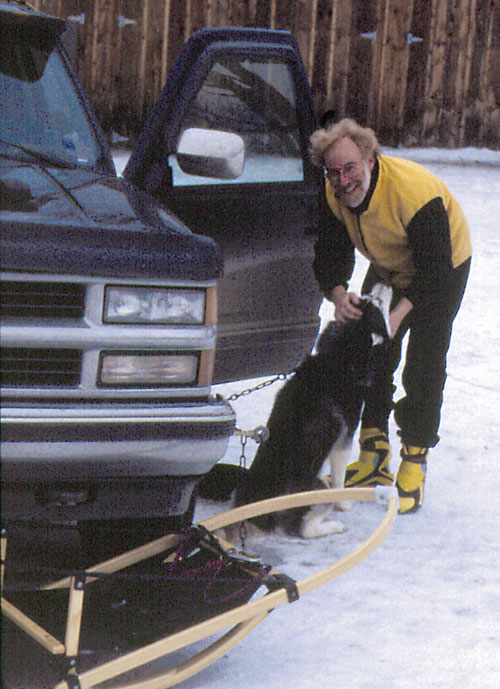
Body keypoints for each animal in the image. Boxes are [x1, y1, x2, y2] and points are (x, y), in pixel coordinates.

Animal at [197, 284, 392, 536]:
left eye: (367, 298)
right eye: (375, 301)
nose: (384, 284)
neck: (337, 361)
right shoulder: (344, 438)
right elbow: (339, 480)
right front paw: (344, 505)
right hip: (318, 487)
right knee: (304, 528)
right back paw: (334, 526)